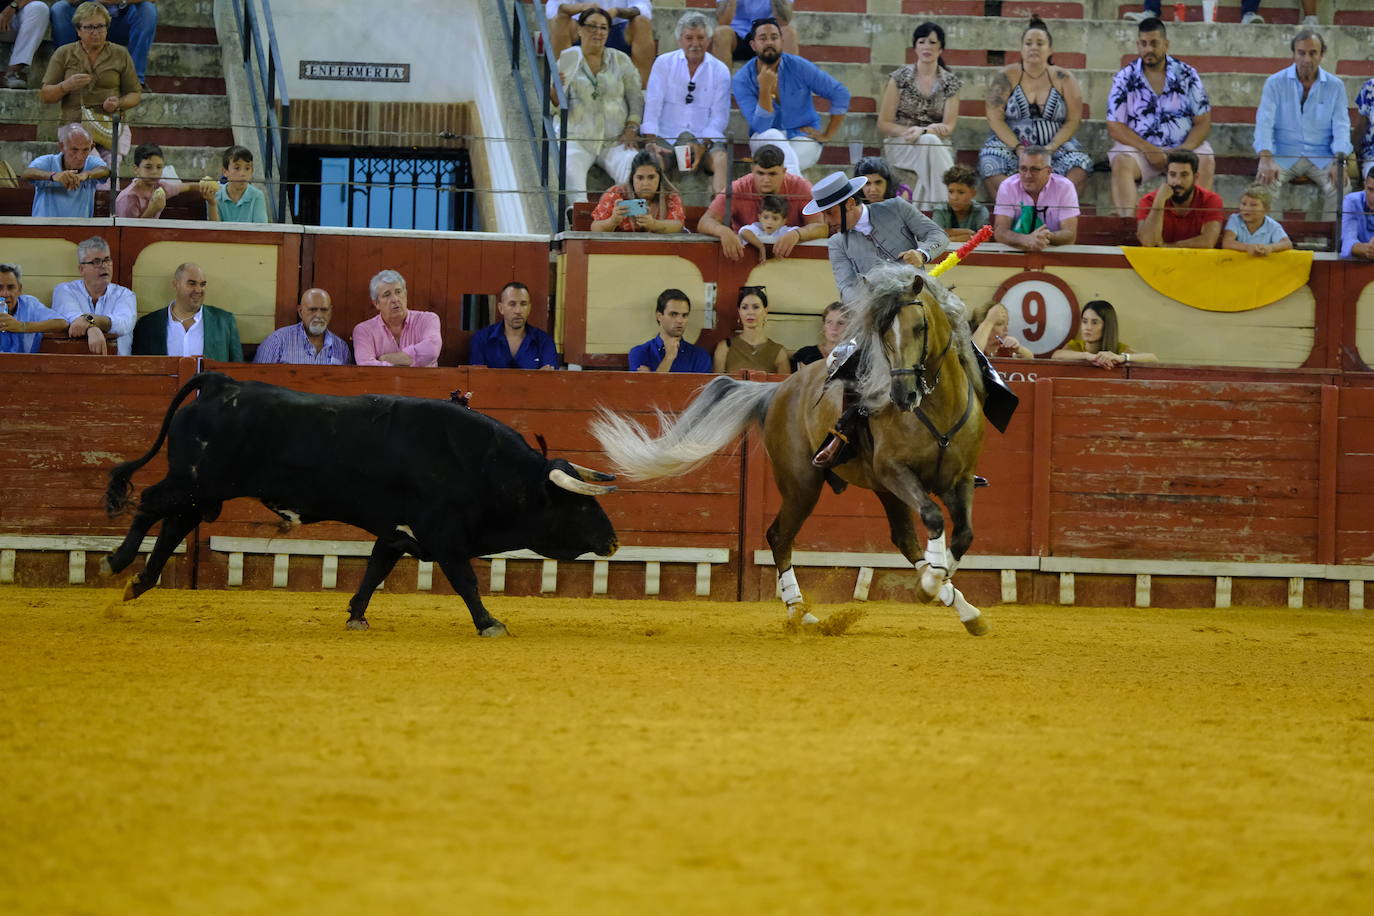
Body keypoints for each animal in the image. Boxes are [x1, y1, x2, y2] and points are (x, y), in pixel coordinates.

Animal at [104, 373, 621, 637]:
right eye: (579, 507)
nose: (614, 542)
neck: (481, 465)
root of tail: (218, 385)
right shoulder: (443, 536)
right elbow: (466, 581)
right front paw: (490, 623)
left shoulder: (396, 533)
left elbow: (374, 570)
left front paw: (356, 615)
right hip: (194, 482)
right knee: (149, 503)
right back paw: (118, 561)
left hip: (203, 492)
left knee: (174, 525)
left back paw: (138, 584)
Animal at [590, 265, 989, 634]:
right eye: (882, 336)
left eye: (920, 327)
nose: (903, 395)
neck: (937, 409)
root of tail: (777, 389)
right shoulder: (895, 471)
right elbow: (935, 518)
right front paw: (931, 584)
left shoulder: (960, 477)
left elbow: (964, 534)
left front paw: (940, 583)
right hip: (804, 484)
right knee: (780, 536)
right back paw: (800, 611)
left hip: (876, 489)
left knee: (904, 539)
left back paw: (966, 609)